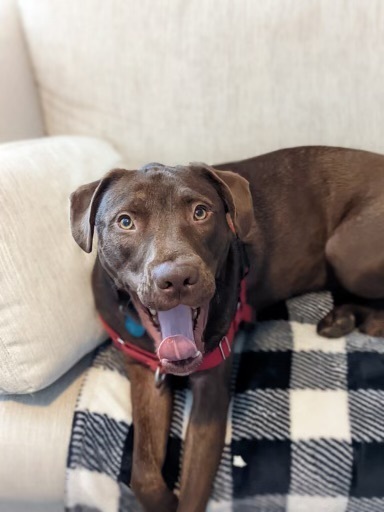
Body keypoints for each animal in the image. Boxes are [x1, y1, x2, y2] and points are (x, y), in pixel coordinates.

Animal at [69, 146, 384, 510]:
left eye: (200, 212)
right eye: (125, 221)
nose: (177, 277)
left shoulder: (211, 387)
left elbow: (192, 490)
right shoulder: (145, 372)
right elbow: (143, 472)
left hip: (346, 252)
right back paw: (344, 318)